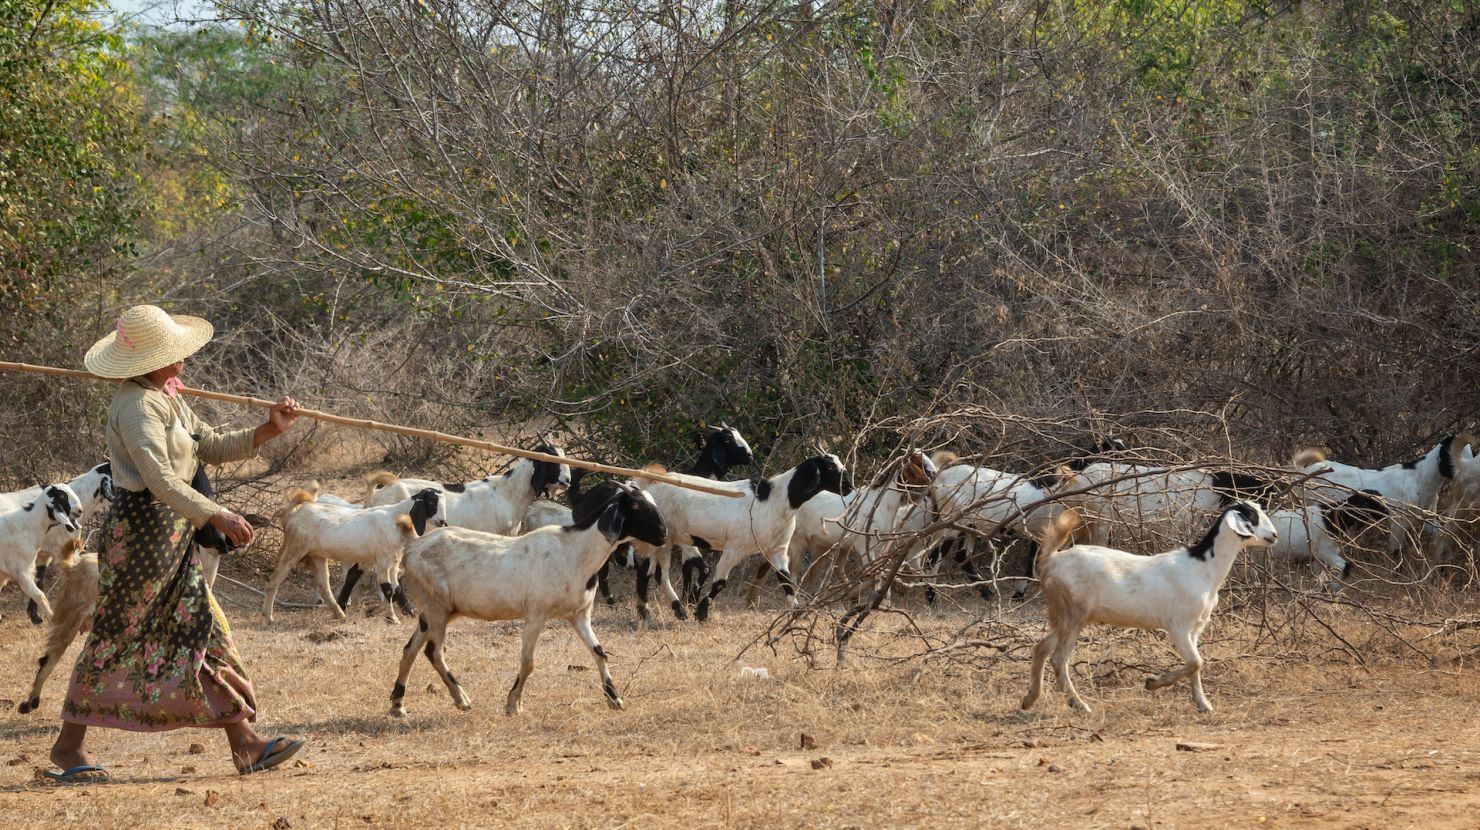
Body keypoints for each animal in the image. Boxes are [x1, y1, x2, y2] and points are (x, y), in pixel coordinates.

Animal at [264, 484, 445, 624]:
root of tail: (294, 513)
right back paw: (269, 617)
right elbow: (388, 589)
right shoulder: (383, 561)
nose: (442, 521)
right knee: (274, 580)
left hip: (317, 556)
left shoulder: (393, 562)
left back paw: (340, 615)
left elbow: (396, 589)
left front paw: (373, 611)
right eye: (431, 500)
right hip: (294, 549)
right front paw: (392, 618)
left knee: (324, 586)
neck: (396, 518)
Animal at [390, 483, 668, 717]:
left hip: (430, 611)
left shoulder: (579, 614)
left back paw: (397, 704)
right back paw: (461, 698)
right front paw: (513, 703)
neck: (573, 552)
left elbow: (599, 652)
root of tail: (413, 547)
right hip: (437, 606)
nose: (663, 533)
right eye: (635, 506)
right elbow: (528, 661)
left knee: (410, 649)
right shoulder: (536, 613)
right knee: (432, 651)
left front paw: (615, 698)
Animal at [1021, 501, 1278, 713]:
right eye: (1252, 516)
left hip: (1063, 615)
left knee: (1041, 648)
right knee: (1058, 658)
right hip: (1074, 612)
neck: (1202, 568)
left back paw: (1030, 699)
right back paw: (1080, 705)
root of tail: (1052, 560)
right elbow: (1196, 662)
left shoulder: (1195, 628)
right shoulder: (1178, 626)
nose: (1274, 535)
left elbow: (1195, 665)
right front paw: (1152, 682)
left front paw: (1203, 704)